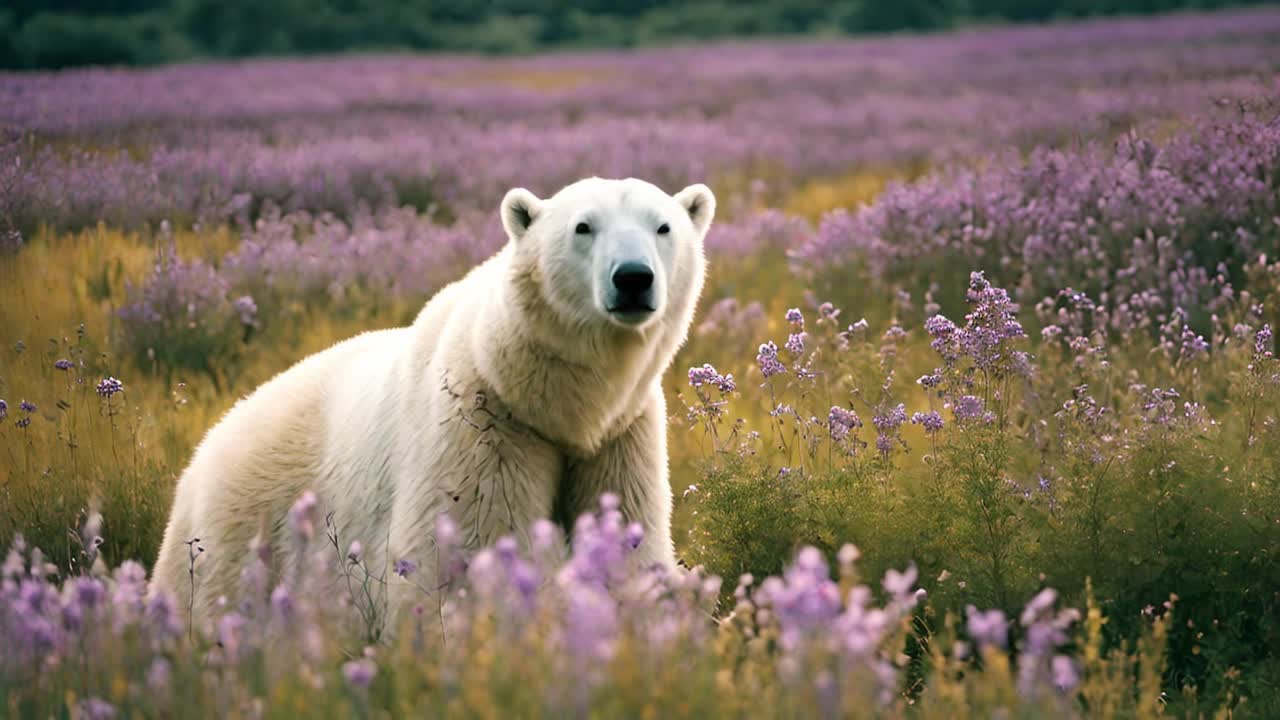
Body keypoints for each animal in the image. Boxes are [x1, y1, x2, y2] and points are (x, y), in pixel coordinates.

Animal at [153, 176, 716, 625]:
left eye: (663, 227)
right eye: (583, 227)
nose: (633, 277)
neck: (556, 406)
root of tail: (203, 448)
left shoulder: (621, 436)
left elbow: (629, 533)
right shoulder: (482, 425)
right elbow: (466, 550)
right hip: (246, 520)